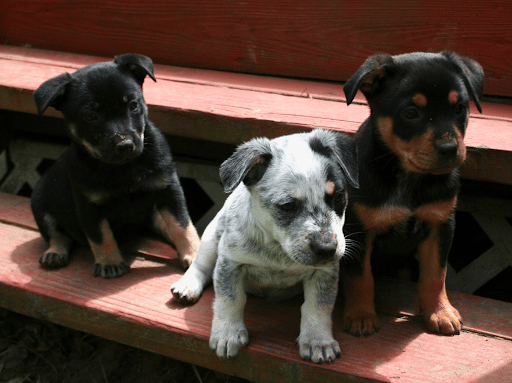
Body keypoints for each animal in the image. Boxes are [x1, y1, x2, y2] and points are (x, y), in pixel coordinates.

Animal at [31, 54, 200, 280]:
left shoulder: (168, 188)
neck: (124, 168)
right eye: (90, 116)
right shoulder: (88, 204)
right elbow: (101, 235)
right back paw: (54, 253)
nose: (126, 145)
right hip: (40, 204)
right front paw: (109, 262)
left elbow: (181, 224)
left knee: (164, 224)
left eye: (133, 106)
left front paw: (194, 252)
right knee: (58, 234)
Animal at [170, 130, 358, 364]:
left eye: (339, 197)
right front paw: (227, 333)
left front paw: (318, 340)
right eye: (288, 206)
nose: (327, 248)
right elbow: (230, 299)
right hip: (211, 238)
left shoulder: (324, 272)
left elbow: (318, 306)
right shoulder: (230, 262)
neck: (278, 250)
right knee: (200, 266)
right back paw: (187, 286)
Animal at [340, 53, 484, 336]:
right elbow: (360, 276)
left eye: (460, 108)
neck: (409, 176)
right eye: (410, 113)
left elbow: (435, 275)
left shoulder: (440, 224)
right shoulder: (358, 229)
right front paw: (361, 316)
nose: (450, 148)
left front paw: (440, 313)